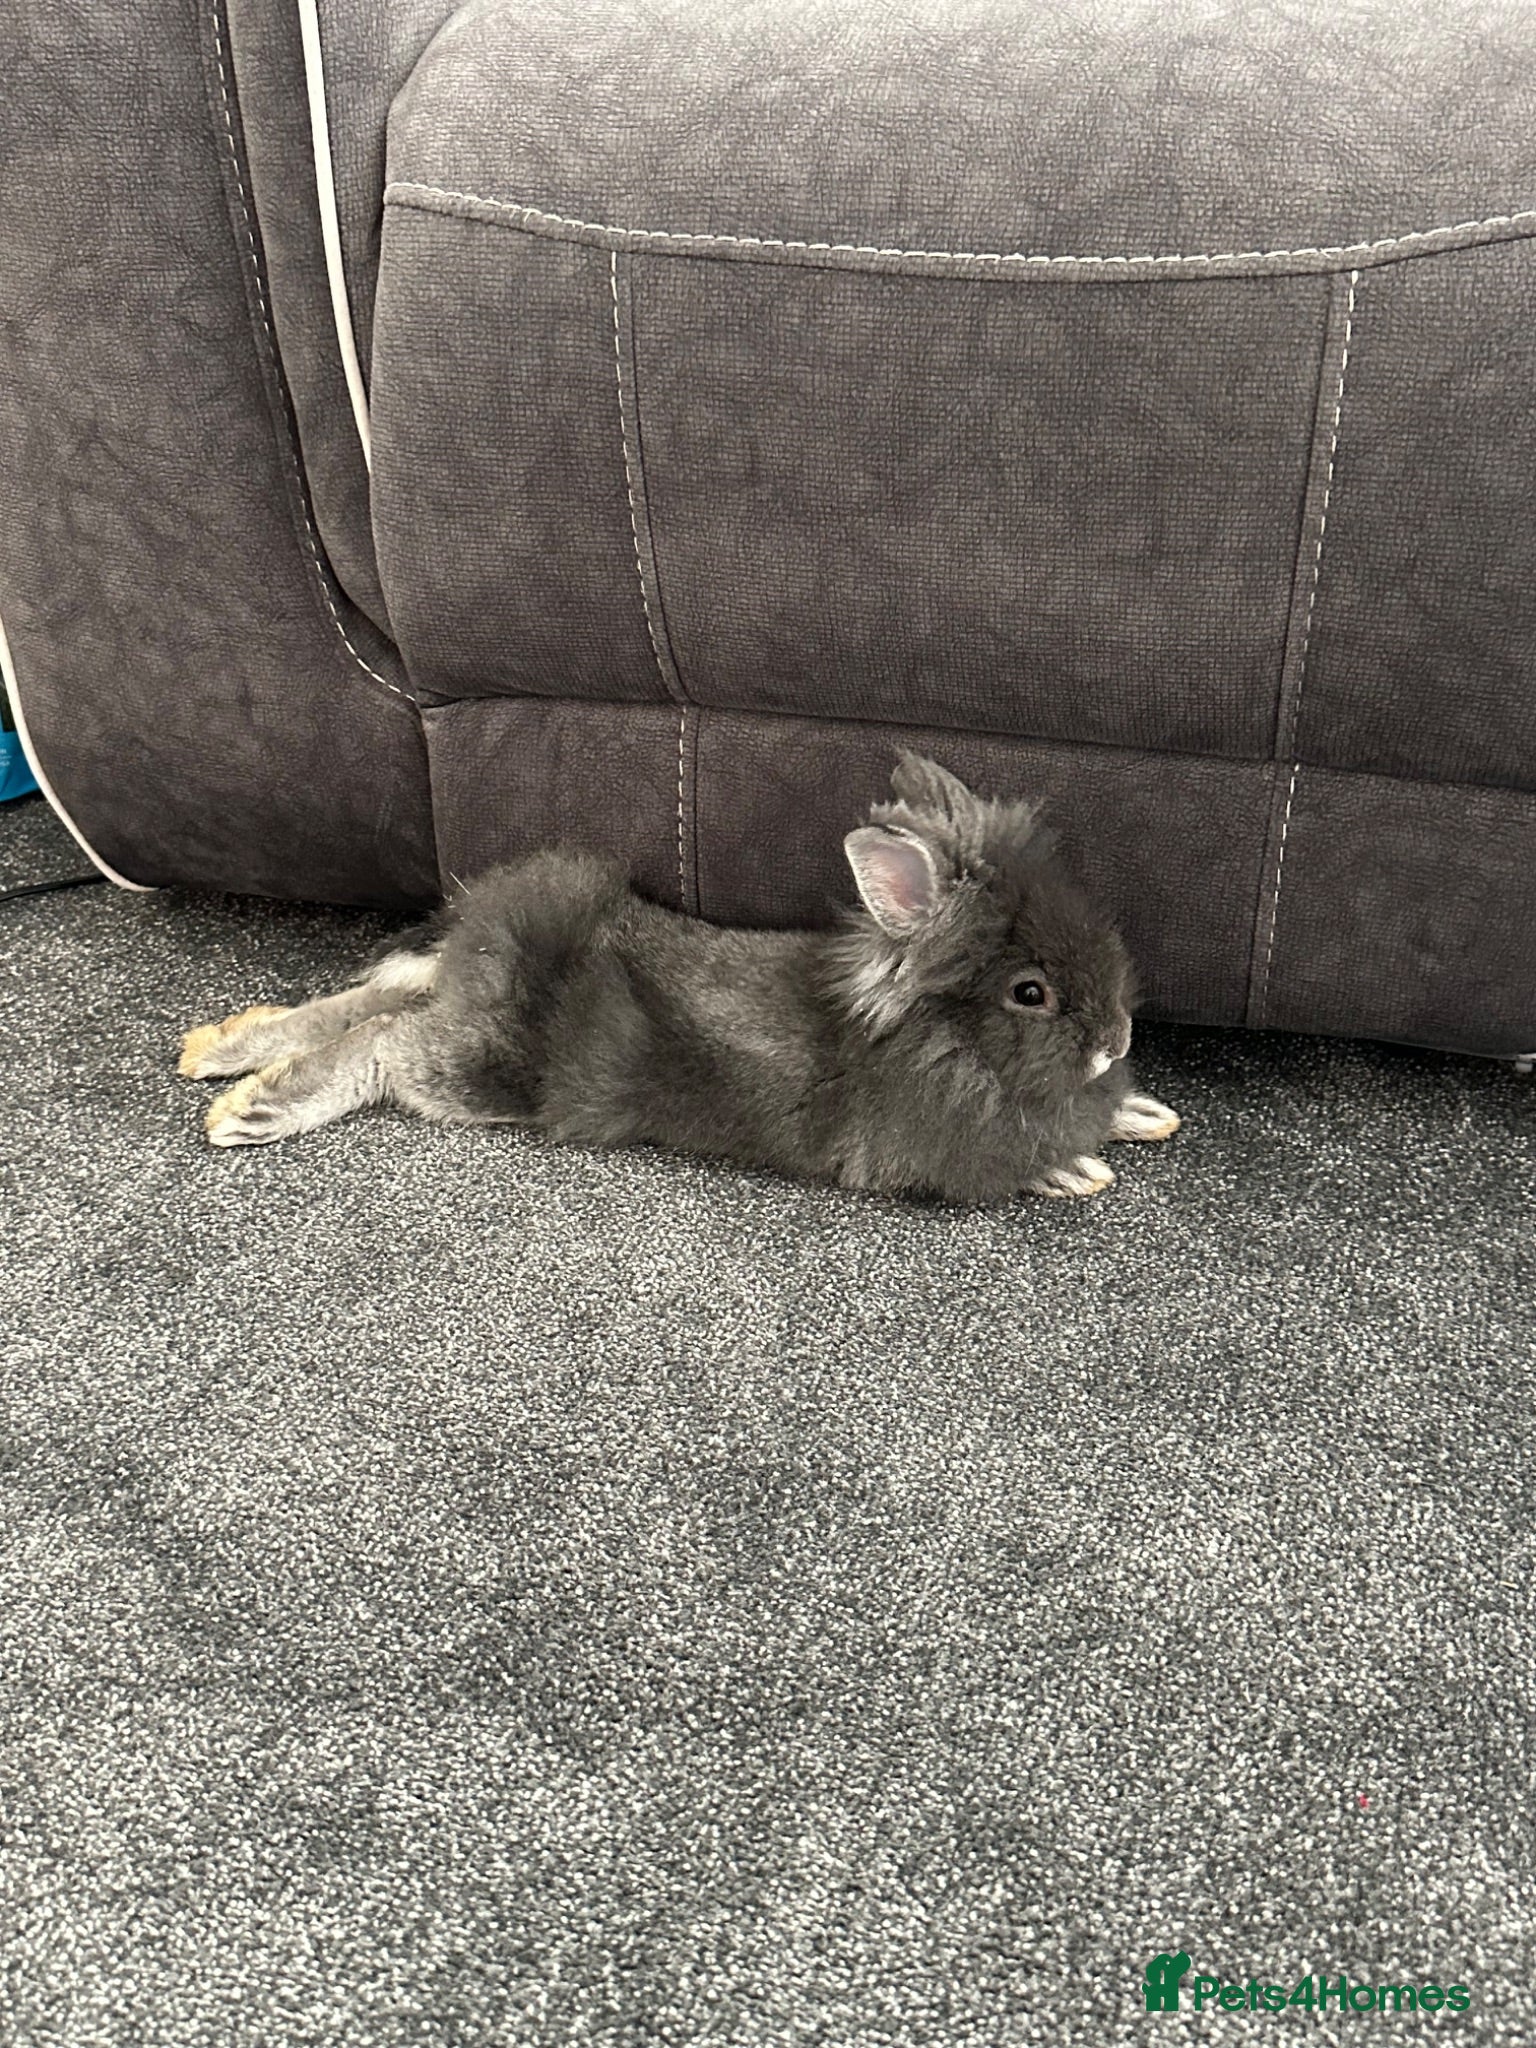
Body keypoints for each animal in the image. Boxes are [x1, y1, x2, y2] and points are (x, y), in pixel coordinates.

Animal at [178, 754, 1179, 1202]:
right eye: (1029, 993)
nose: (1118, 1041)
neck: (947, 1043)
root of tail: (485, 939)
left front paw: (1141, 1115)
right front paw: (1075, 1169)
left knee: (378, 996)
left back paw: (221, 1047)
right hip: (482, 1071)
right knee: (384, 1039)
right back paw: (254, 1106)